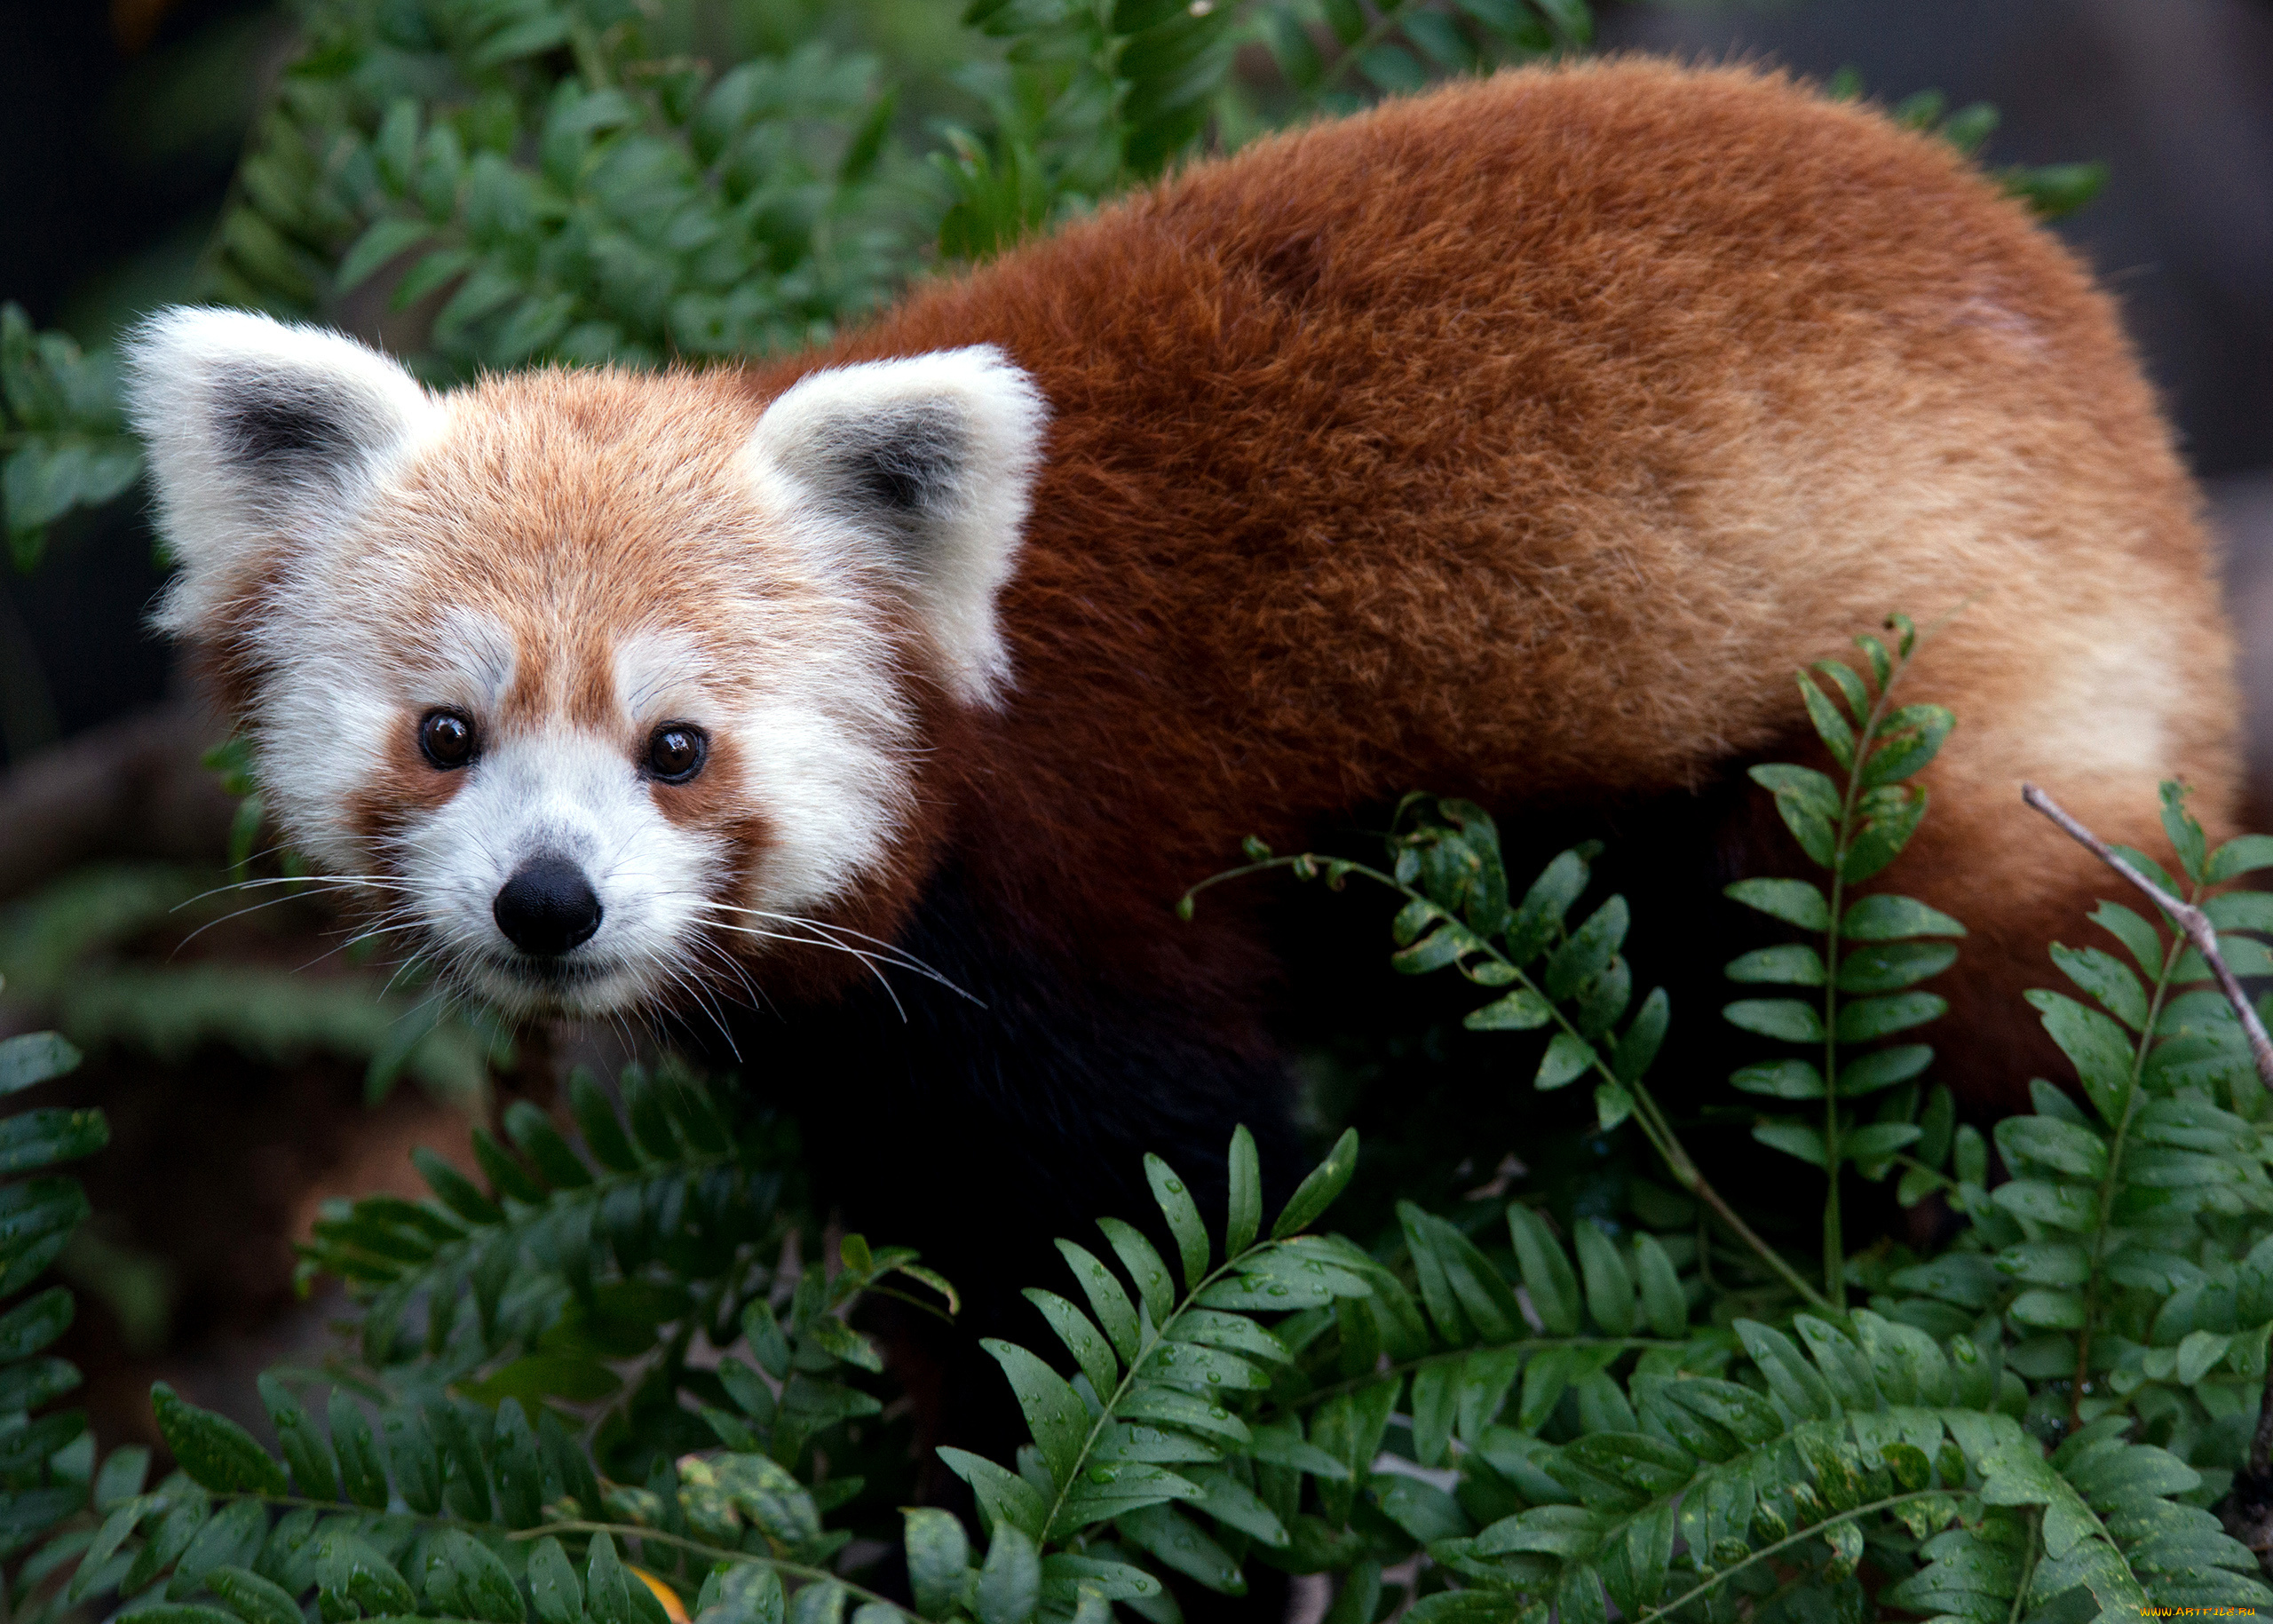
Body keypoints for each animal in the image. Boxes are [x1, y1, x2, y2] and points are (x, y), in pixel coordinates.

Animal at [129, 59, 2237, 1364]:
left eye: (676, 747)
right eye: (446, 734)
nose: (548, 903)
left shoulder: (1080, 888)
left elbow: (1147, 1201)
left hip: (1926, 706)